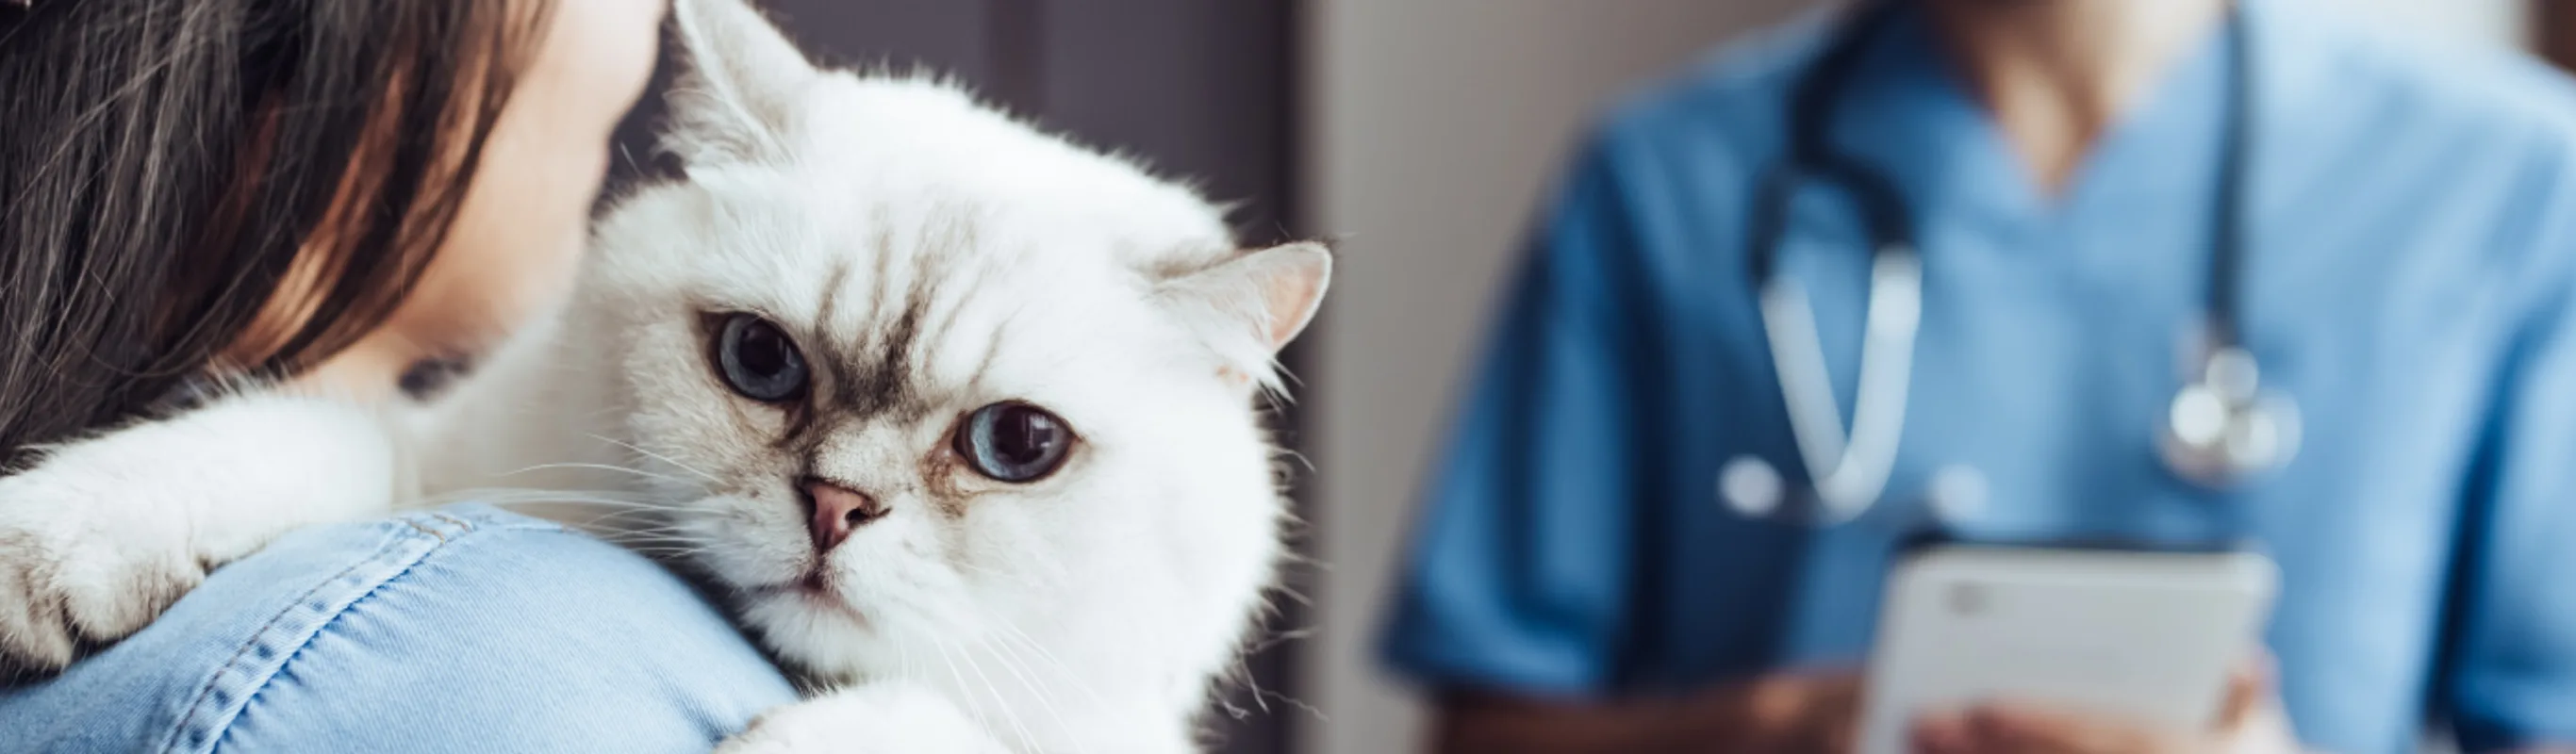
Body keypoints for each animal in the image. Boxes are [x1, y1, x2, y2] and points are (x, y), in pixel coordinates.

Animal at [0, 0, 1329, 746]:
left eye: (1015, 445)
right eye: (760, 360)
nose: (835, 507)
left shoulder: (1105, 729)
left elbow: (953, 727)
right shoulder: (443, 461)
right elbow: (290, 435)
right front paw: (53, 552)